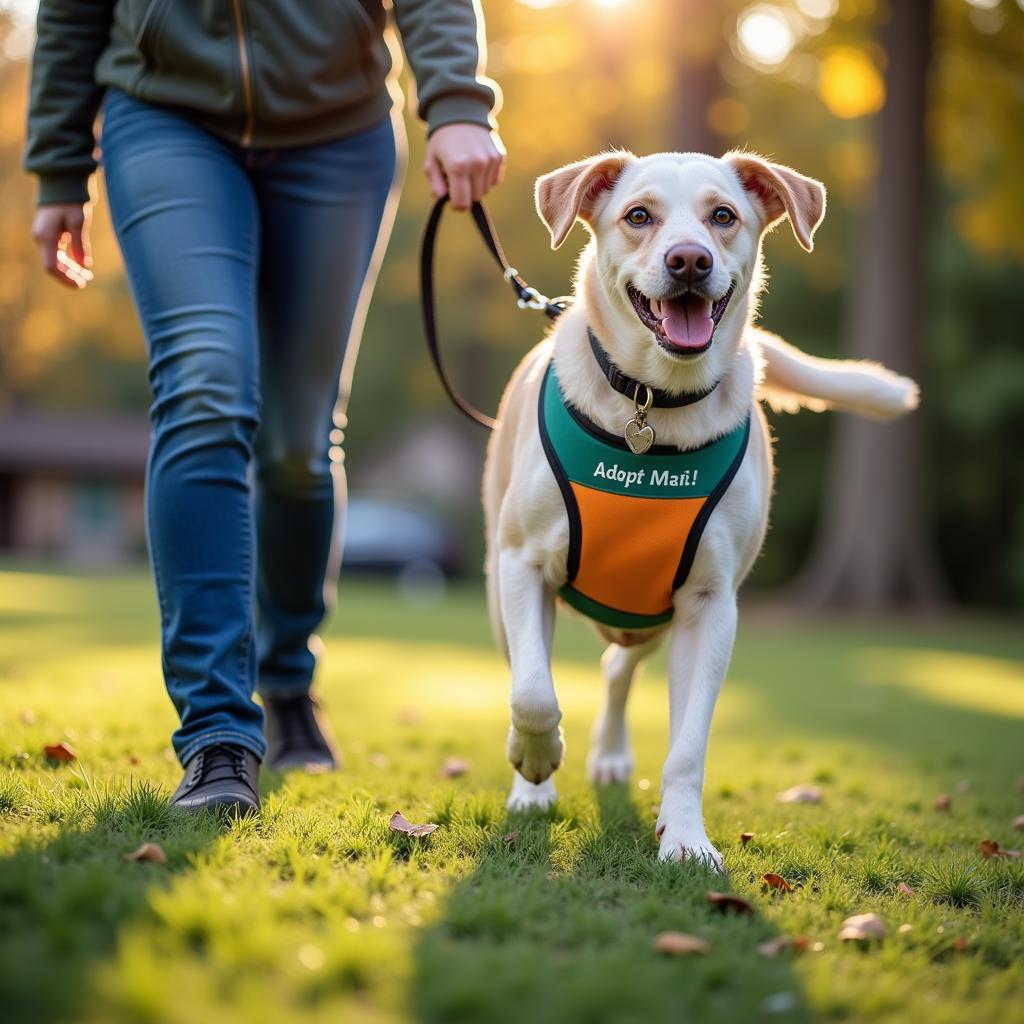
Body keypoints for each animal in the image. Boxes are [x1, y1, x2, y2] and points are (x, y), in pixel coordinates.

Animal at [481, 149, 921, 872]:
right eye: (638, 216)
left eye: (723, 215)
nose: (690, 259)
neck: (654, 405)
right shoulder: (523, 565)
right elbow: (533, 692)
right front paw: (536, 763)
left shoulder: (709, 604)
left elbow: (688, 746)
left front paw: (685, 839)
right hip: (507, 592)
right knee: (536, 668)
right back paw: (533, 788)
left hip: (646, 615)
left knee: (616, 667)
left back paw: (610, 756)